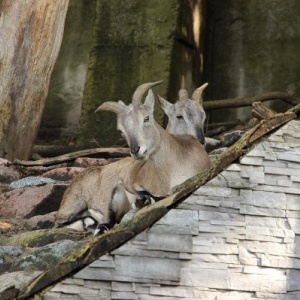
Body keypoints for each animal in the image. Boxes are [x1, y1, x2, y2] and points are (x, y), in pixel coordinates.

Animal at [54, 81, 210, 232]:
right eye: (121, 130)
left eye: (146, 118)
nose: (136, 150)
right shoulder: (131, 178)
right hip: (73, 204)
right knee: (60, 222)